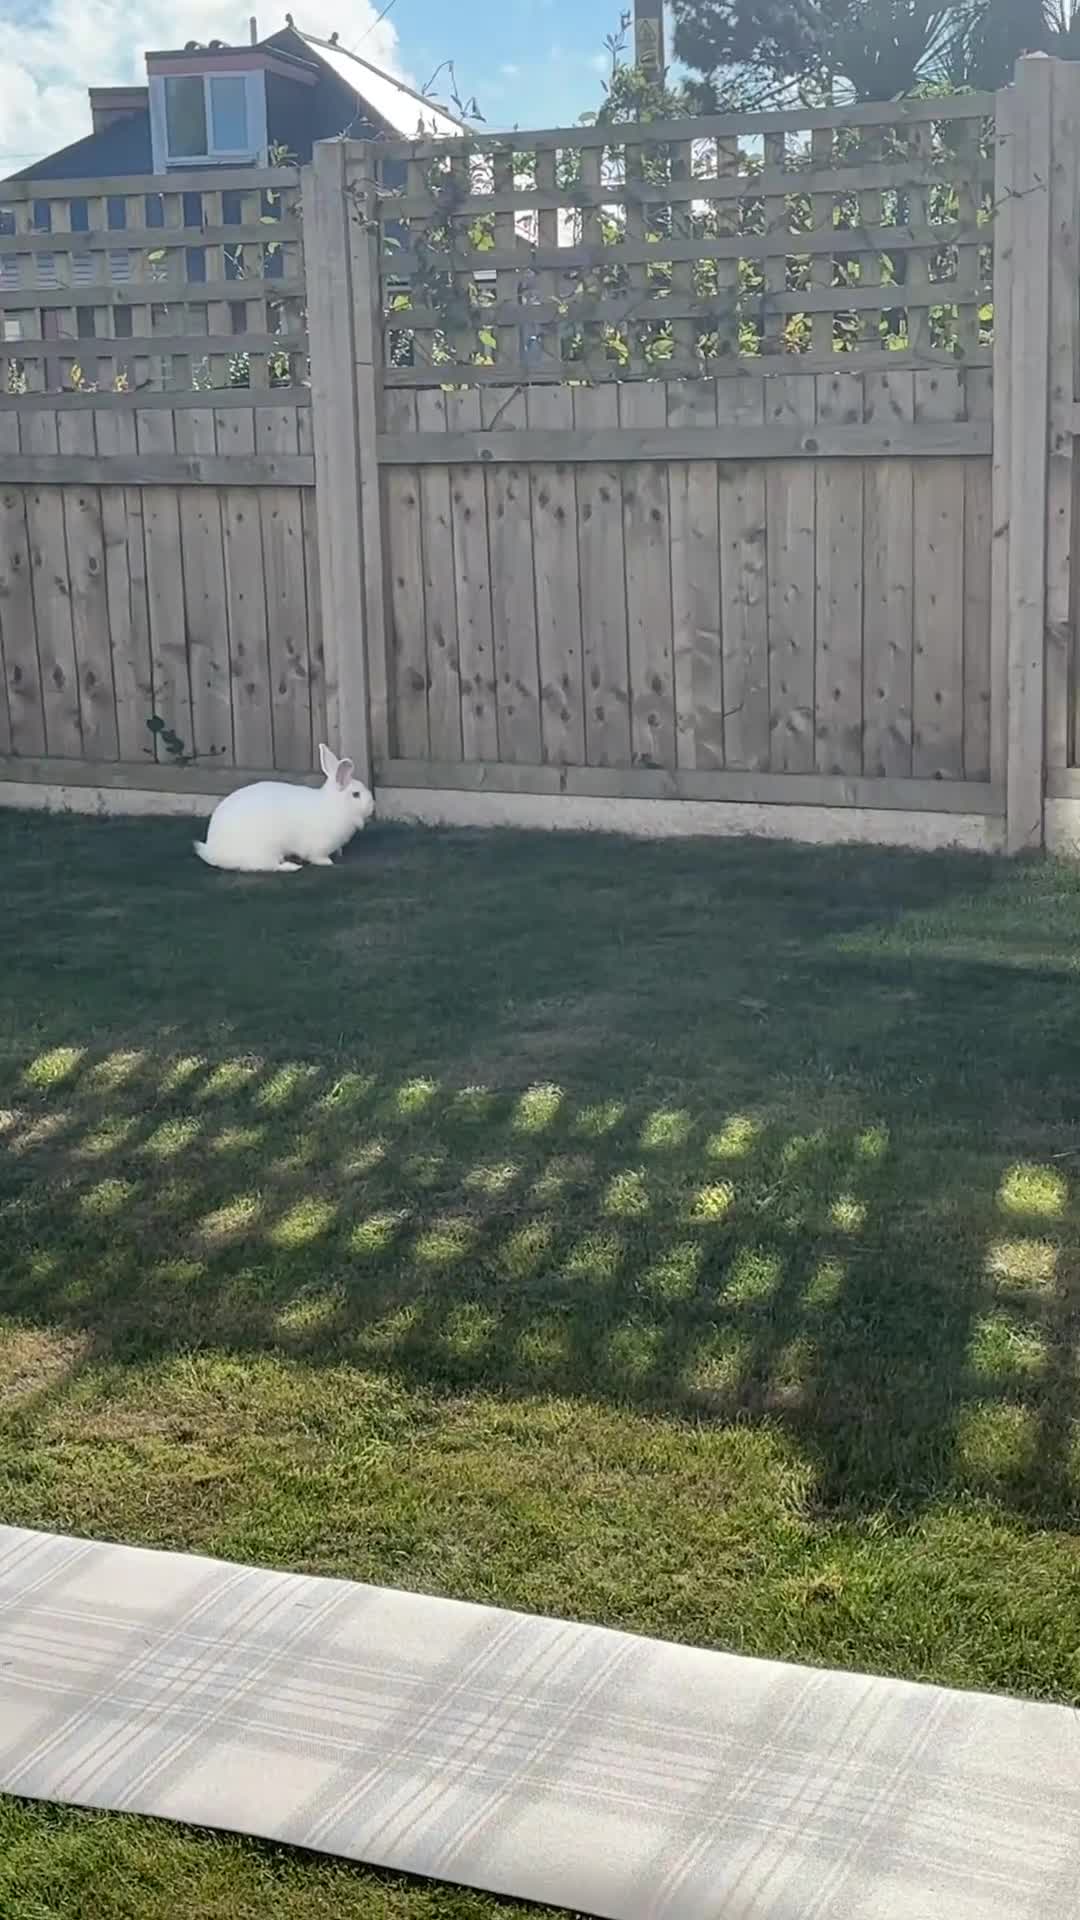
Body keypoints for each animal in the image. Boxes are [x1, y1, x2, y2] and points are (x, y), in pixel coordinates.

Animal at [193, 744, 374, 873]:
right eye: (356, 794)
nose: (372, 805)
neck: (336, 806)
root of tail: (214, 852)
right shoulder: (319, 847)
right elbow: (317, 857)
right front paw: (328, 862)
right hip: (265, 850)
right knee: (268, 866)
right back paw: (292, 866)